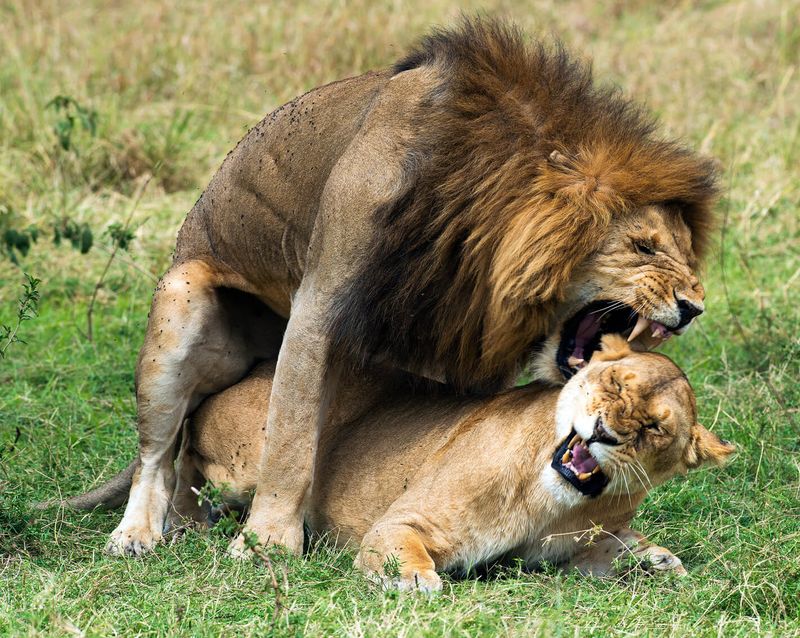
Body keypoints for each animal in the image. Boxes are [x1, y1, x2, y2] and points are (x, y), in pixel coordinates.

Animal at [67, 335, 733, 590]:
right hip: (250, 457)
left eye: (653, 428)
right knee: (180, 459)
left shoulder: (575, 552)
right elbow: (408, 554)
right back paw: (169, 526)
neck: (557, 502)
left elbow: (618, 551)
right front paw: (416, 581)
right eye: (615, 384)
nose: (604, 433)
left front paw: (658, 558)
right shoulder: (402, 522)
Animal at [106, 17, 719, 557]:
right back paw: (140, 533)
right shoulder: (319, 301)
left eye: (688, 254)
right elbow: (290, 437)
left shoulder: (463, 337)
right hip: (181, 296)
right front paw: (269, 543)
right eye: (643, 247)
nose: (692, 307)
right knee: (159, 454)